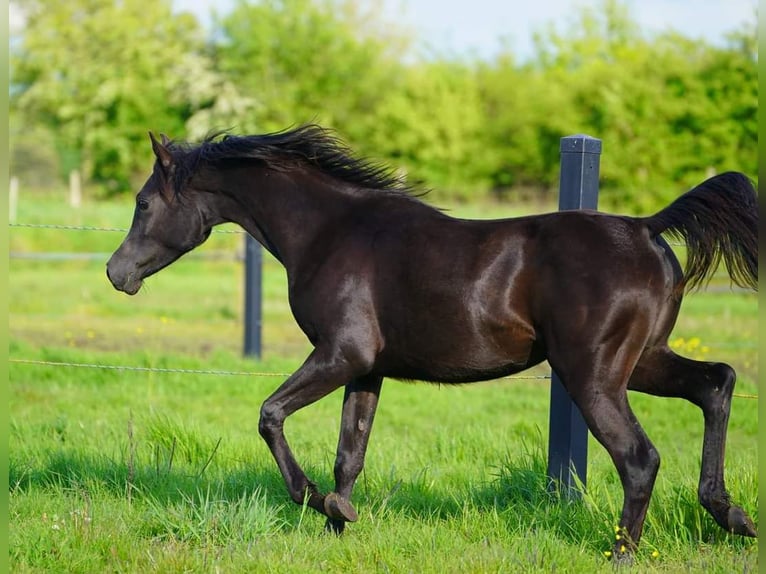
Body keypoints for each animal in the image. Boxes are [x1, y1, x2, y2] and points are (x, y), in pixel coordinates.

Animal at [105, 124, 760, 556]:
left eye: (143, 202)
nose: (117, 273)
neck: (329, 232)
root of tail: (648, 229)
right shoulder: (365, 368)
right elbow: (349, 453)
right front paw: (338, 520)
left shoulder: (340, 354)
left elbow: (270, 415)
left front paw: (311, 497)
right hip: (642, 362)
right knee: (717, 383)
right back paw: (731, 514)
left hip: (593, 375)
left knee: (639, 457)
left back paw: (623, 551)